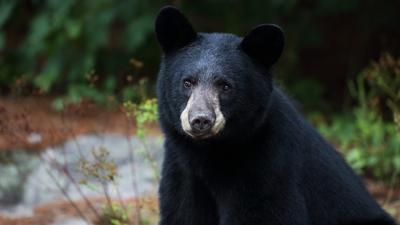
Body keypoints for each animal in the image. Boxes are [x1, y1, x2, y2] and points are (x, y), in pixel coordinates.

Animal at [154, 5, 396, 225]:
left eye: (225, 86)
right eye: (187, 82)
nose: (201, 120)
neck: (210, 152)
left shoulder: (269, 166)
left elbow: (263, 213)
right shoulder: (181, 172)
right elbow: (182, 213)